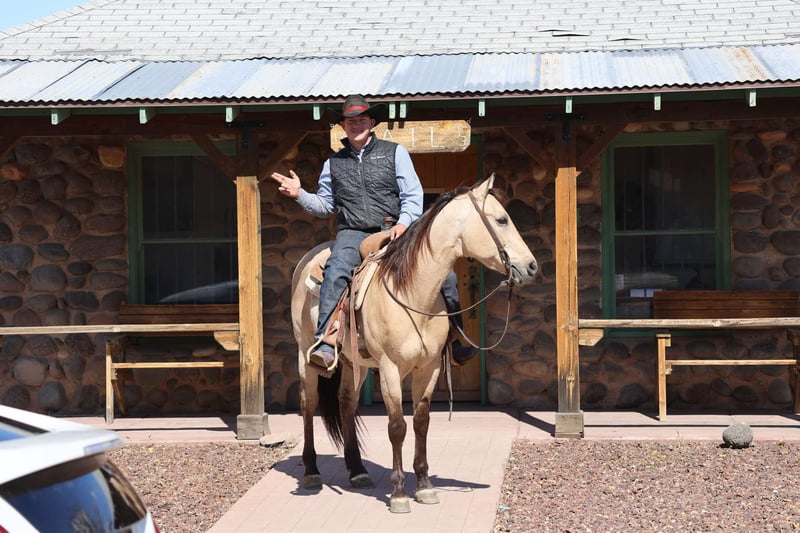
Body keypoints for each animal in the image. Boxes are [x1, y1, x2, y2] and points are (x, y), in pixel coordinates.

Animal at [289, 174, 538, 513]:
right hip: (305, 355)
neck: (410, 291)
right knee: (308, 404)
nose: (531, 266)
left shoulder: (429, 368)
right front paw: (398, 493)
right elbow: (397, 427)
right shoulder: (390, 369)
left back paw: (357, 470)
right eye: (501, 219)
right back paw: (312, 471)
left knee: (346, 403)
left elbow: (421, 422)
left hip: (355, 364)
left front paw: (424, 485)